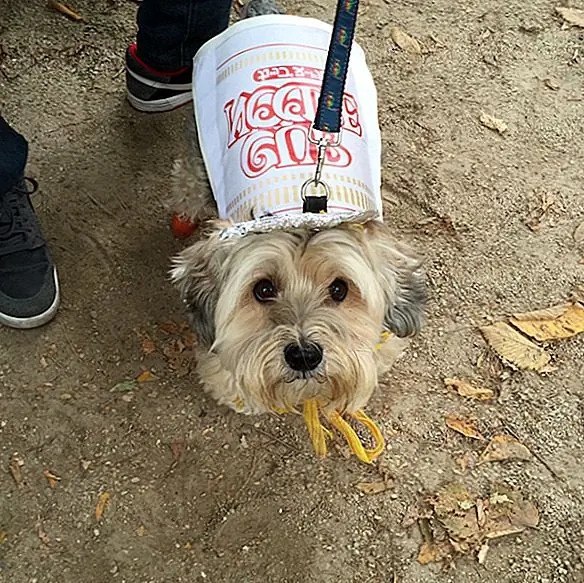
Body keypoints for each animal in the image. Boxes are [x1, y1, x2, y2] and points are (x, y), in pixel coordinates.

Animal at [169, 9, 424, 420]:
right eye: (263, 289)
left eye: (340, 289)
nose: (304, 355)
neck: (304, 207)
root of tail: (270, 13)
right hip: (199, 153)